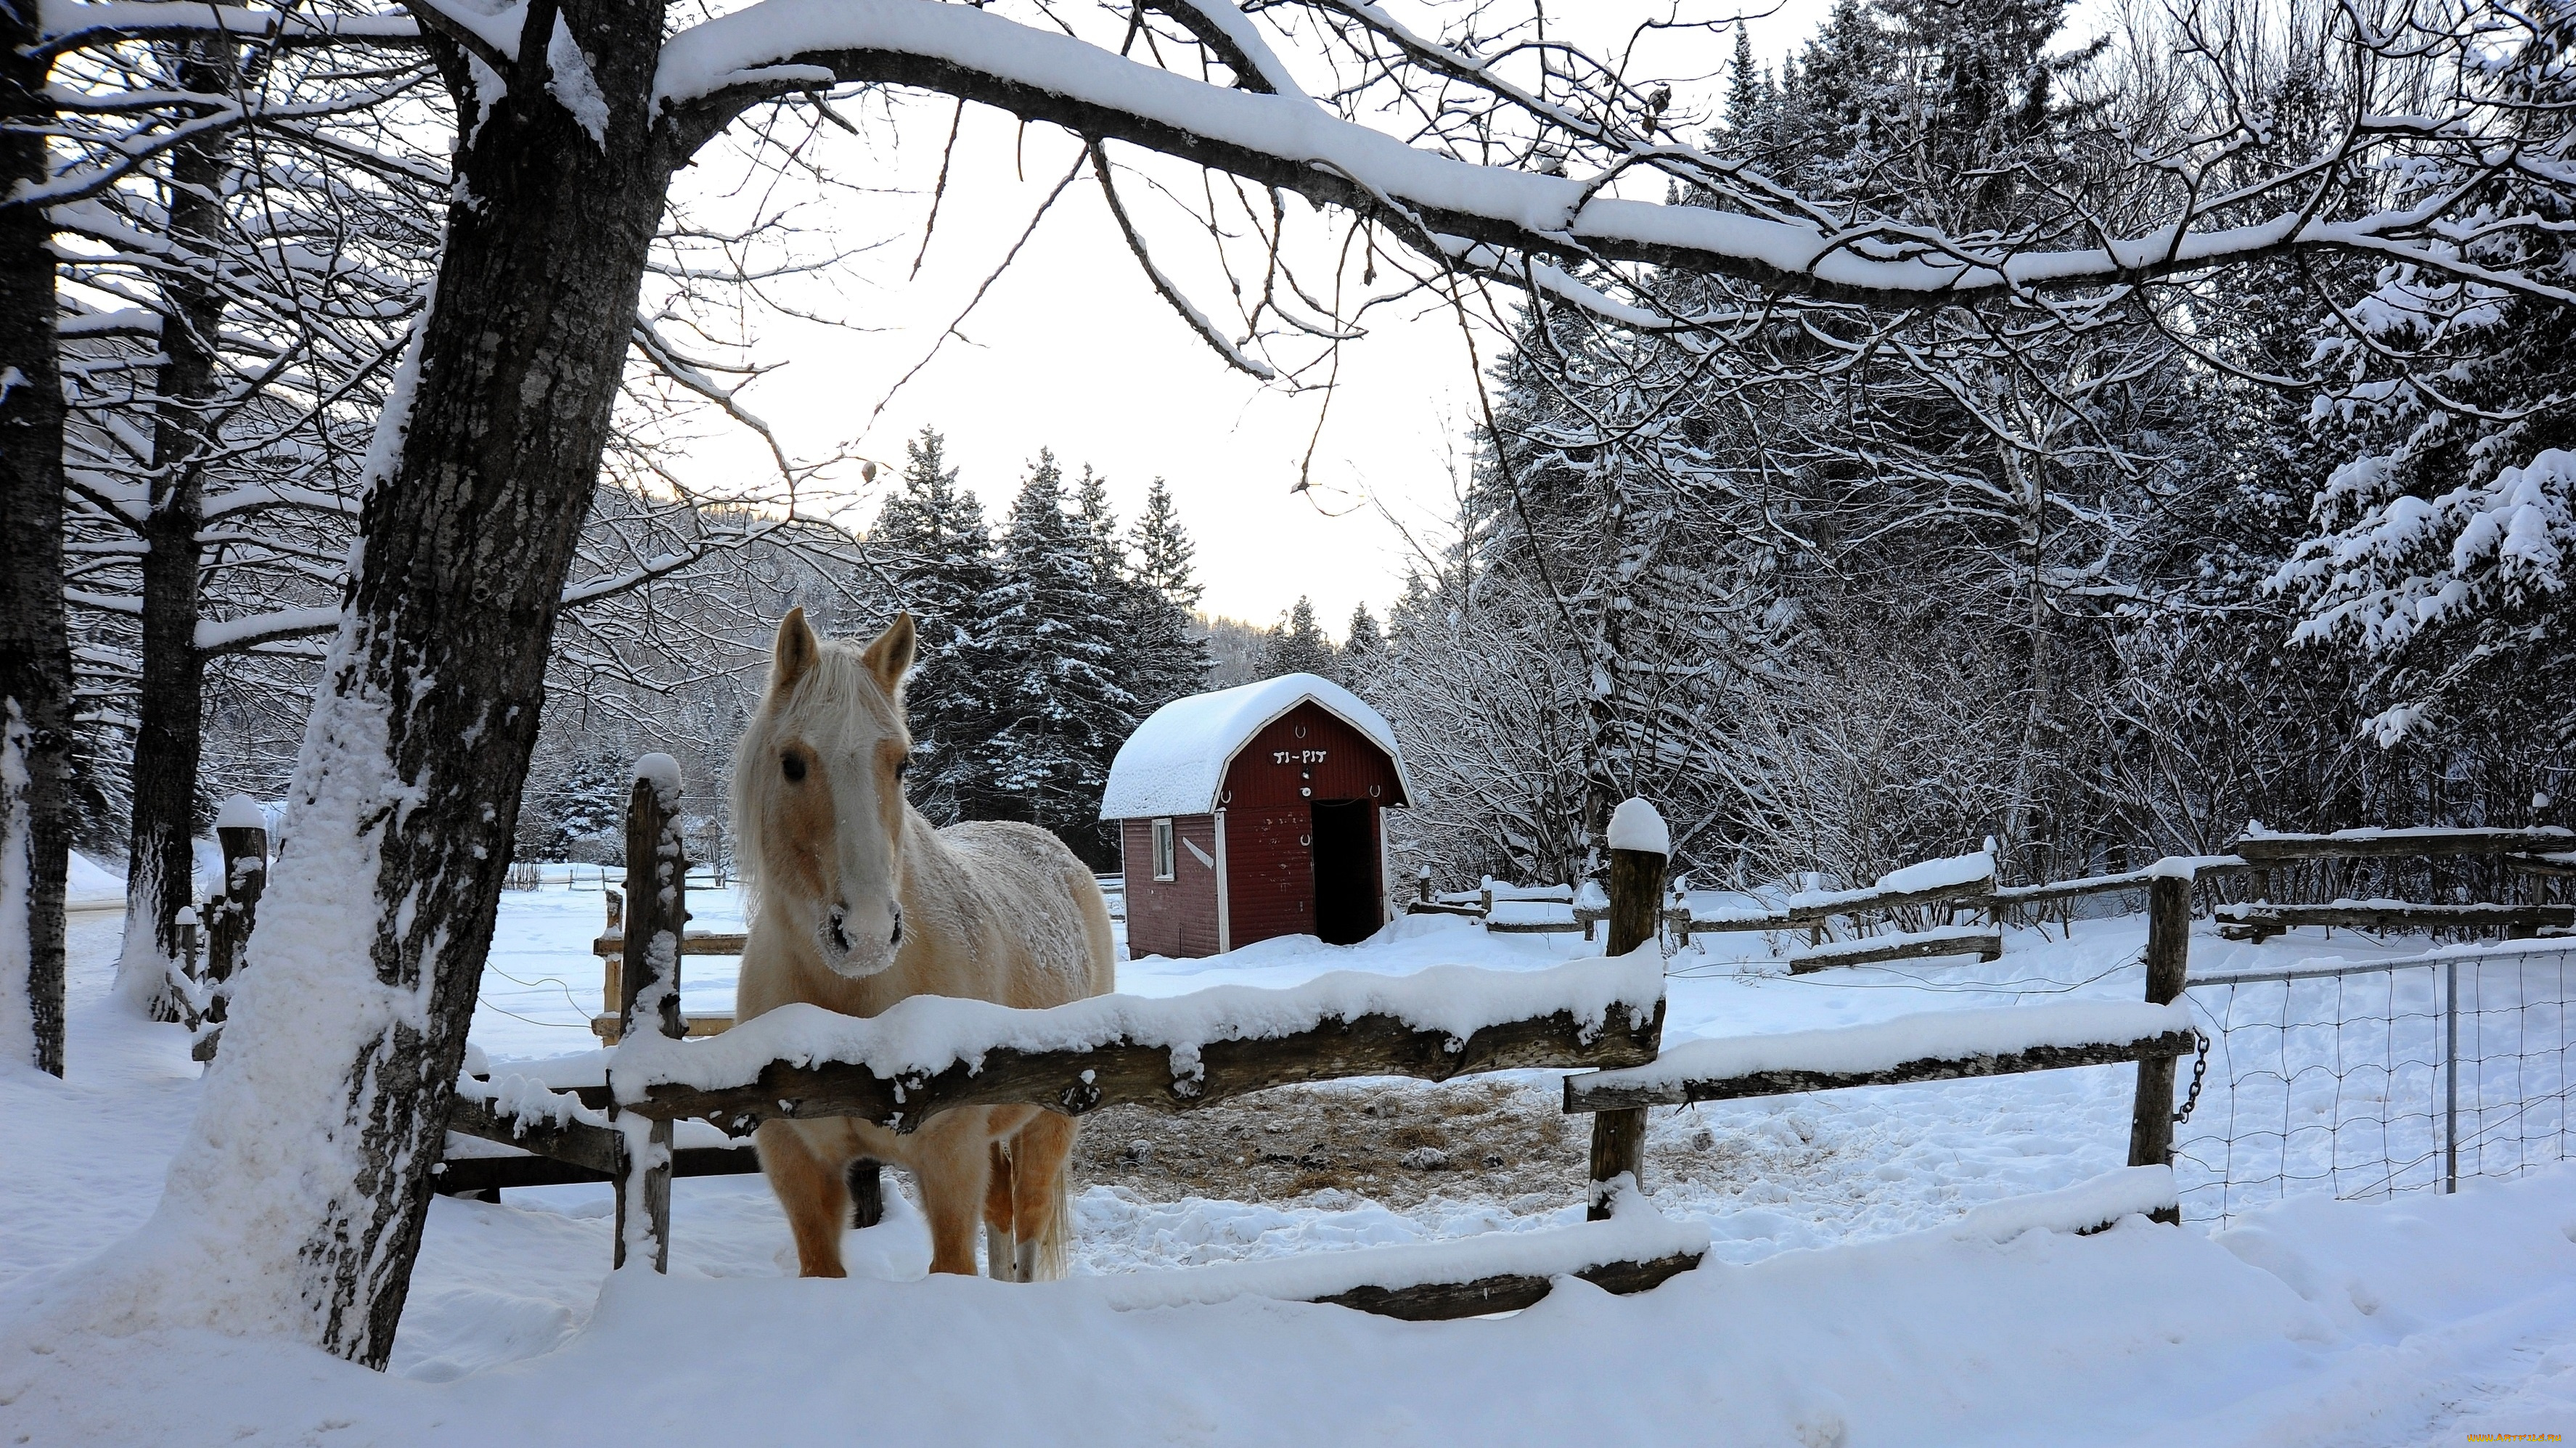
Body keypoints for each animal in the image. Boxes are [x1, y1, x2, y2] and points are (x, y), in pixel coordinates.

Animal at [737, 608, 1118, 1272]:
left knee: (1027, 1226)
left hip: (1048, 1121)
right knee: (1001, 1219)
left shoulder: (950, 1160)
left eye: (902, 763)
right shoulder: (797, 1166)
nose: (865, 932)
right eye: (792, 762)